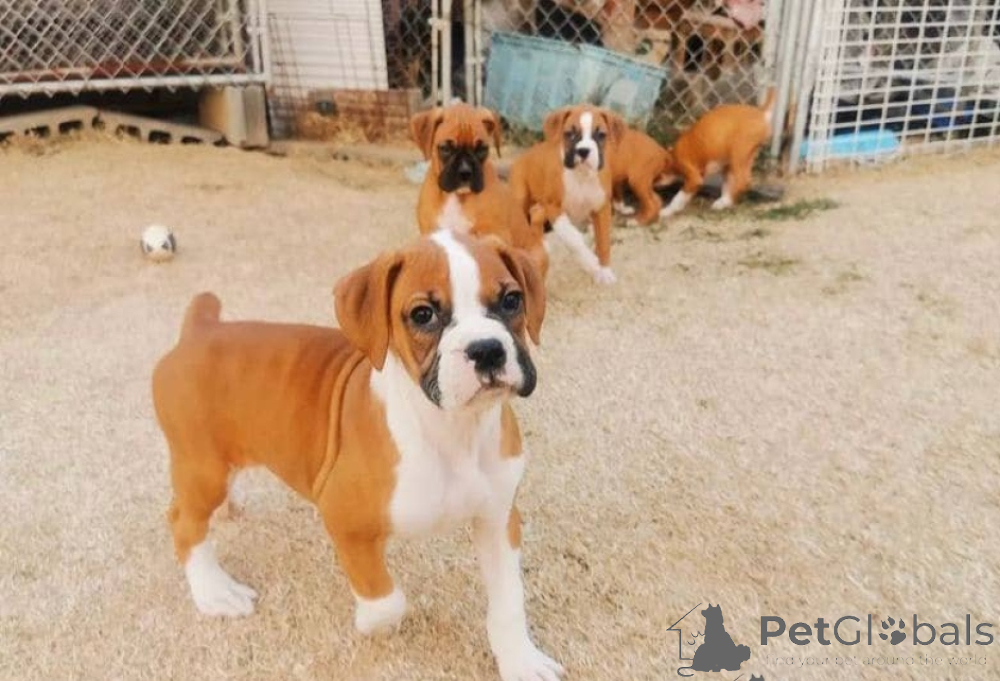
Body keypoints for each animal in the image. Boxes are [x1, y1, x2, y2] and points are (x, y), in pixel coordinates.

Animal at [151, 232, 563, 681]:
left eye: (511, 300)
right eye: (423, 314)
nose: (487, 349)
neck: (452, 431)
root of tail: (201, 327)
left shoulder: (498, 521)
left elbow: (509, 601)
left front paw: (520, 660)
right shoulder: (344, 520)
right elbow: (387, 599)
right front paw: (370, 623)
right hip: (202, 469)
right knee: (183, 523)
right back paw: (215, 591)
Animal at [509, 104, 625, 284]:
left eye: (600, 135)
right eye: (570, 134)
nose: (583, 151)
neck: (582, 175)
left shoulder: (602, 209)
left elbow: (604, 241)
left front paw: (605, 271)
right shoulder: (554, 207)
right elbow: (573, 238)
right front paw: (590, 261)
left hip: (540, 208)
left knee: (536, 215)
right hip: (520, 199)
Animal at [660, 88, 776, 219]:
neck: (673, 156)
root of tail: (761, 112)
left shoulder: (694, 179)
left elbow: (678, 197)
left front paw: (667, 211)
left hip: (738, 156)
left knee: (743, 182)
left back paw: (726, 202)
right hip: (739, 161)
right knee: (730, 185)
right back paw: (722, 203)